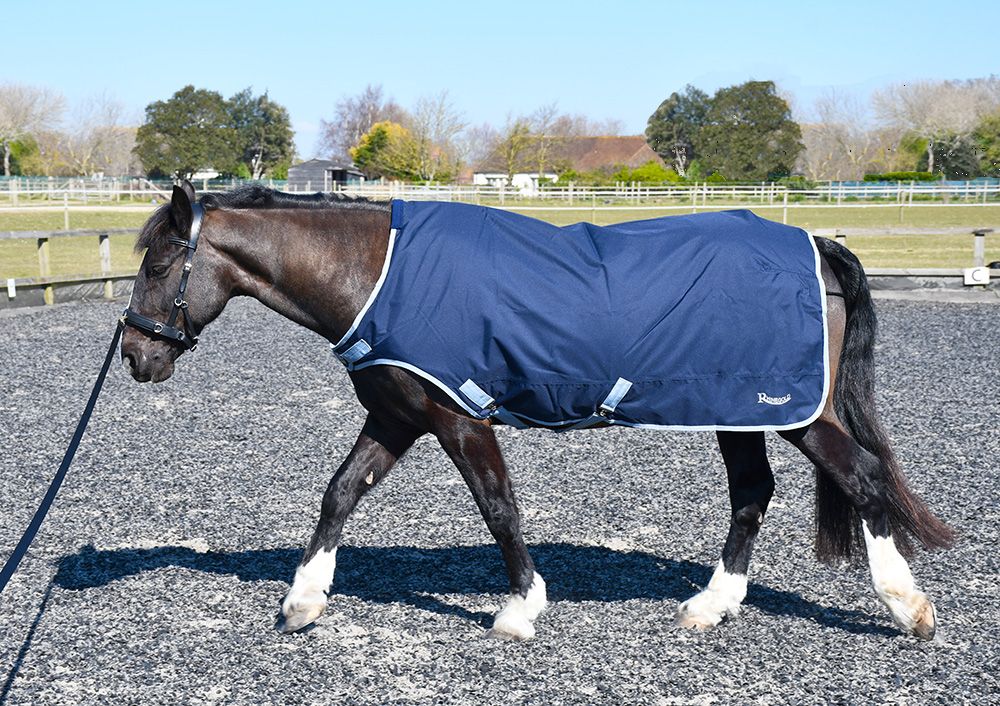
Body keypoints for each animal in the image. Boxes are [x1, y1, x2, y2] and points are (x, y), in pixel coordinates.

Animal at [120, 181, 953, 641]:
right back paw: (710, 605)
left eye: (158, 264)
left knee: (863, 478)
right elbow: (339, 494)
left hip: (792, 413)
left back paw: (906, 605)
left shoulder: (460, 418)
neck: (377, 275)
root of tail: (817, 244)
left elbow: (498, 508)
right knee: (753, 493)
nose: (134, 355)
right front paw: (302, 601)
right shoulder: (398, 417)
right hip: (735, 409)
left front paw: (520, 608)